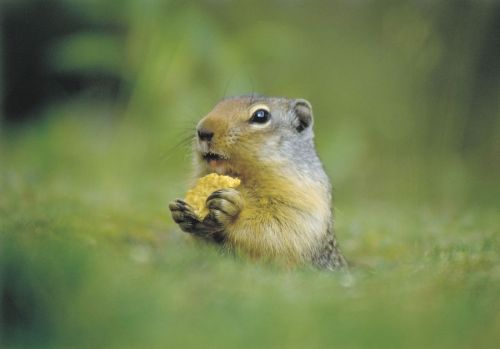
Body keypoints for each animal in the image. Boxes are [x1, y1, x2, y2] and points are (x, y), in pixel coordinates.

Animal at [170, 95, 346, 270]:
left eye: (261, 116)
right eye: (217, 105)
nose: (203, 131)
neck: (241, 176)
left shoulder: (302, 200)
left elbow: (276, 230)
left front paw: (230, 208)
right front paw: (180, 211)